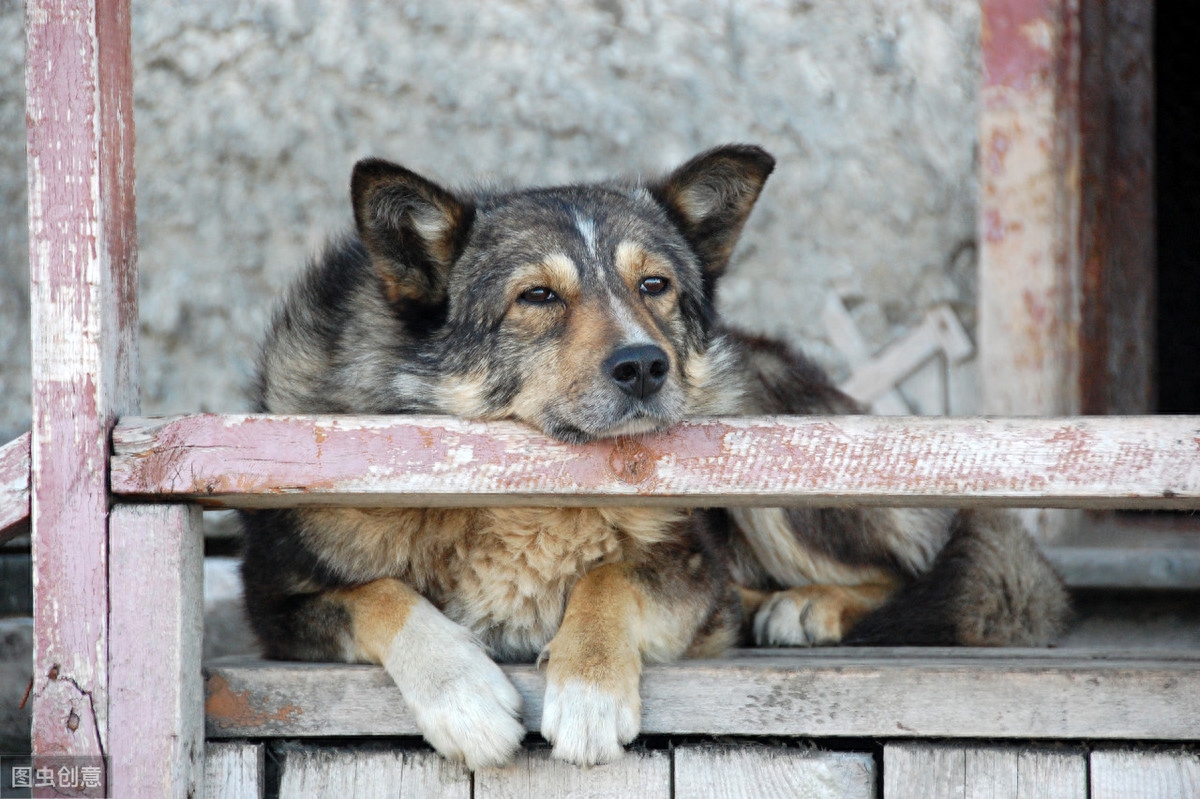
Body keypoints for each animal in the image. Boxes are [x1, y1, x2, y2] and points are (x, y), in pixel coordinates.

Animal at [236, 143, 1070, 767]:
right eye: (537, 297)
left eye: (655, 285)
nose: (643, 365)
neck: (522, 490)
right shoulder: (275, 603)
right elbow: (379, 593)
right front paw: (461, 693)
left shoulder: (694, 569)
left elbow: (609, 577)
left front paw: (589, 690)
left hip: (768, 447)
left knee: (915, 568)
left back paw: (806, 605)